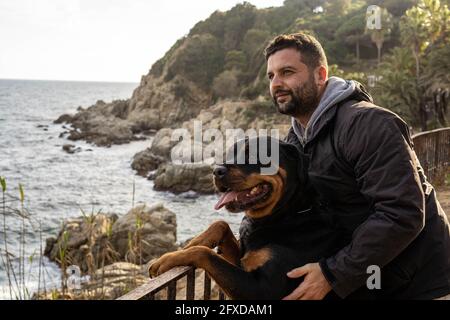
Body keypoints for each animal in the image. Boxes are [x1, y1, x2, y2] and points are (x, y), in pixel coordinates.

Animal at [148, 136, 344, 300]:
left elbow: (205, 253)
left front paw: (165, 260)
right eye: (230, 154)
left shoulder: (262, 289)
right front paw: (192, 243)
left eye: (256, 155)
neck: (288, 214)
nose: (216, 170)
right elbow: (221, 224)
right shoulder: (240, 261)